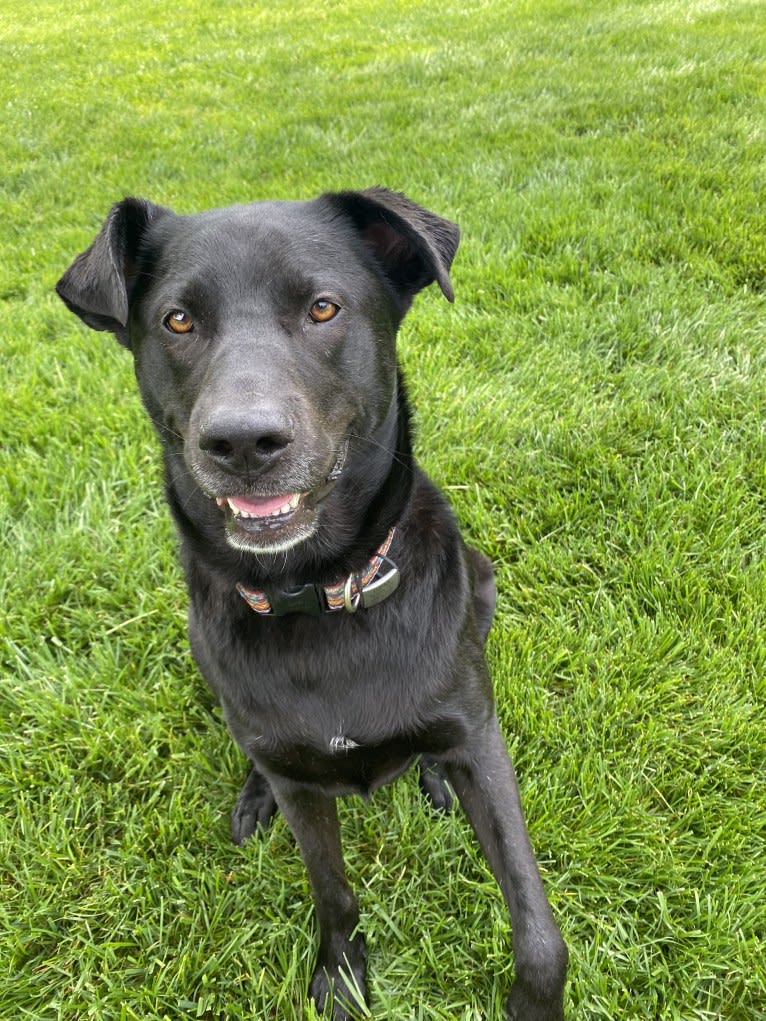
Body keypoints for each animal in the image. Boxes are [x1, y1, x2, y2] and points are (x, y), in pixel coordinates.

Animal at [55, 187, 571, 1016]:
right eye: (178, 320)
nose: (242, 442)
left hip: (484, 587)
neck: (323, 595)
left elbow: (537, 927)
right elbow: (332, 889)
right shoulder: (303, 786)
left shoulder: (481, 743)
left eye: (323, 308)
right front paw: (340, 970)